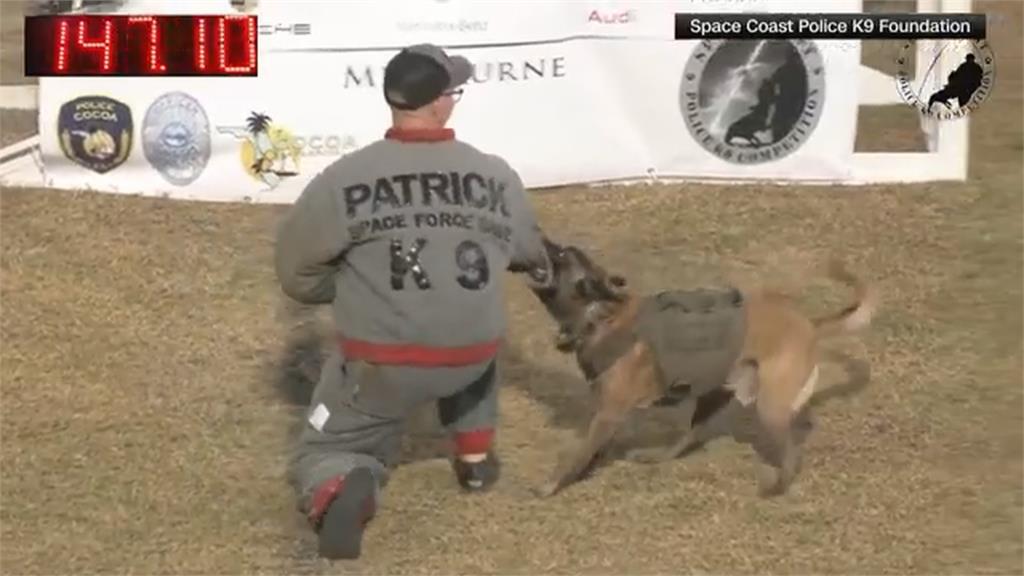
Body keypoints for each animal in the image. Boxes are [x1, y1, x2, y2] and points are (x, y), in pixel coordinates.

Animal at [532, 239, 876, 496]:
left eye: (560, 256)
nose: (542, 240)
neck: (602, 315)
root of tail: (810, 324)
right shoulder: (609, 413)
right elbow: (593, 451)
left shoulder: (608, 413)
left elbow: (577, 454)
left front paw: (552, 485)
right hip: (715, 394)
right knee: (690, 436)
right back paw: (658, 456)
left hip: (769, 407)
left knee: (790, 452)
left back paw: (777, 487)